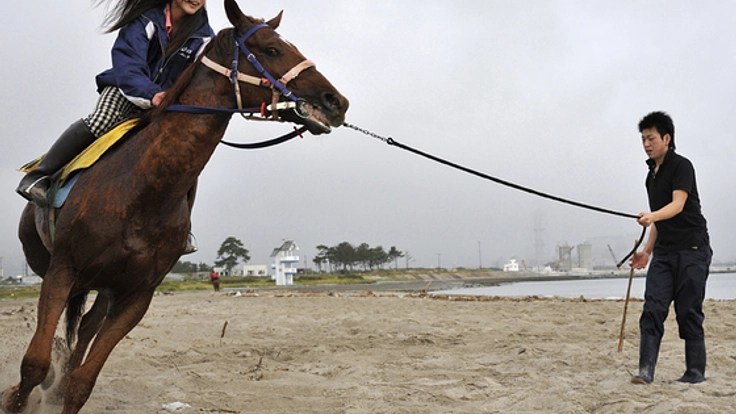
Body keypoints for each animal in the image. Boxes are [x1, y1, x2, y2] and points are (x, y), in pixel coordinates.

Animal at [2, 1, 348, 412]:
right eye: (271, 49)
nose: (335, 101)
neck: (142, 193)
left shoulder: (137, 295)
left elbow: (82, 382)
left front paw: (65, 385)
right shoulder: (62, 271)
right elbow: (35, 363)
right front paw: (15, 399)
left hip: (106, 285)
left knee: (85, 328)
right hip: (57, 268)